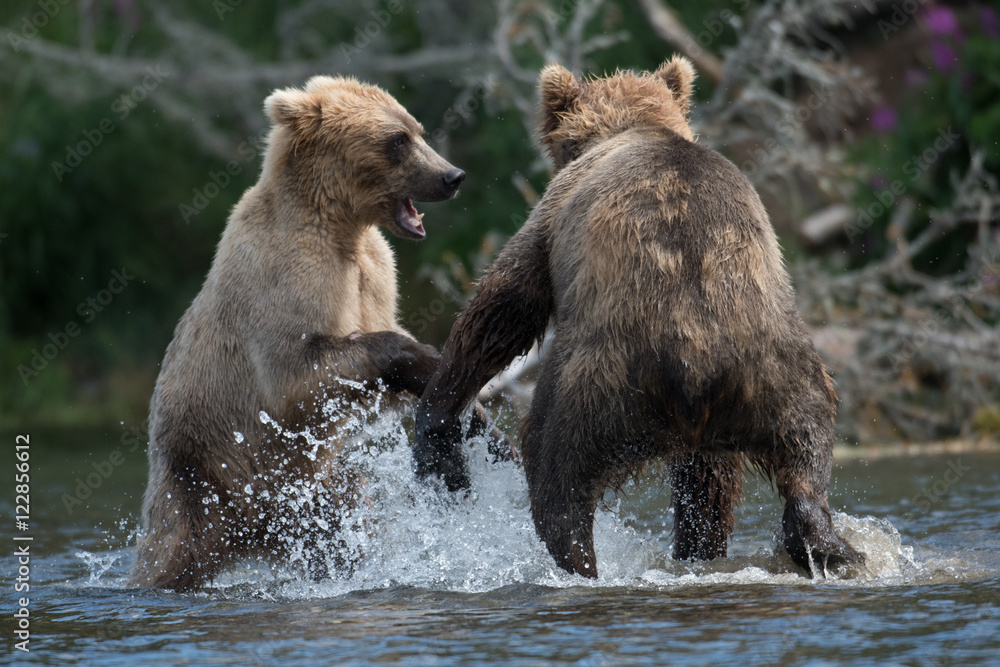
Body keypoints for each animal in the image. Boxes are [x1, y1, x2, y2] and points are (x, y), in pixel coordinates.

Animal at [130, 75, 507, 591]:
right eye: (397, 140)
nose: (452, 176)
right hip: (204, 478)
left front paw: (478, 416)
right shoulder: (289, 278)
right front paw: (428, 360)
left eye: (417, 129)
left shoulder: (376, 276)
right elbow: (298, 376)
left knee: (344, 532)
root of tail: (247, 533)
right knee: (167, 552)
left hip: (317, 493)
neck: (342, 226)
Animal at [413, 56, 863, 578]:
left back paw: (577, 559)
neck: (634, 125)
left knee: (557, 470)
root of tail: (694, 362)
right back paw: (812, 544)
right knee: (779, 464)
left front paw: (437, 420)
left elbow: (505, 304)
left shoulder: (553, 213)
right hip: (776, 373)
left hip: (598, 380)